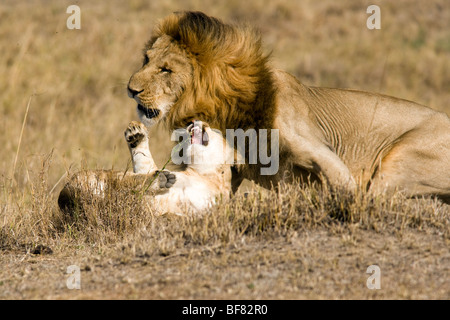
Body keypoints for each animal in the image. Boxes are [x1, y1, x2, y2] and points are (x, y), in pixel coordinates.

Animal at [126, 11, 450, 205]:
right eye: (146, 59)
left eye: (166, 70)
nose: (131, 90)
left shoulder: (319, 150)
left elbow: (345, 186)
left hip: (397, 159)